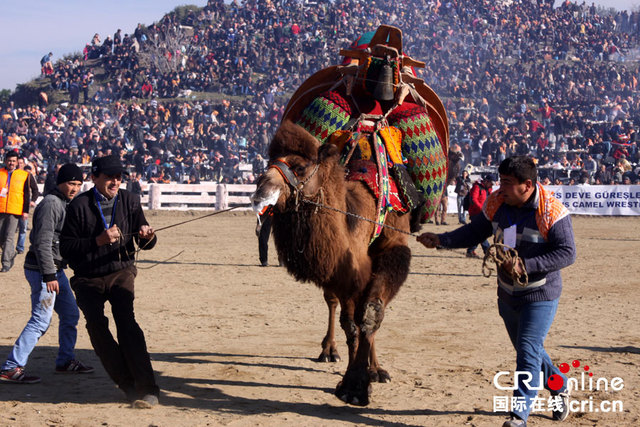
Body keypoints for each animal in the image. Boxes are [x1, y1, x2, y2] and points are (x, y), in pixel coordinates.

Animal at [250, 118, 410, 406]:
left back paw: (375, 368)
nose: (261, 189)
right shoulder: (342, 275)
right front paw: (353, 383)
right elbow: (350, 325)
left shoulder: (382, 255)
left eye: (300, 167)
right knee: (333, 303)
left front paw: (367, 377)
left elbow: (369, 314)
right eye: (269, 163)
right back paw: (328, 350)